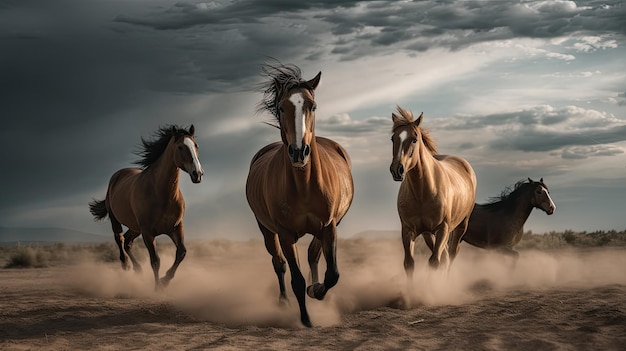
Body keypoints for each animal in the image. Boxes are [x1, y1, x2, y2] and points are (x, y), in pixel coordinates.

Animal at [88, 125, 202, 290]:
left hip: (135, 227)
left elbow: (181, 252)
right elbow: (155, 261)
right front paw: (158, 288)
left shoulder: (176, 227)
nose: (197, 174)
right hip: (117, 220)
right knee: (120, 238)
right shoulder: (148, 233)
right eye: (180, 147)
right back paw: (126, 265)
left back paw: (138, 270)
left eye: (196, 146)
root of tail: (117, 175)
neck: (162, 195)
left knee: (128, 242)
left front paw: (165, 280)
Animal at [244, 62, 352, 328]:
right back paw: (283, 301)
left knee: (313, 253)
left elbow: (332, 274)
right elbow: (296, 279)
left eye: (312, 106)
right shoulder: (284, 234)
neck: (304, 187)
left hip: (331, 224)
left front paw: (317, 290)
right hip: (266, 230)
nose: (299, 152)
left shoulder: (329, 225)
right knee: (279, 264)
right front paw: (306, 319)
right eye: (282, 107)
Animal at [388, 107, 476, 284]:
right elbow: (409, 263)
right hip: (429, 234)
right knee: (446, 257)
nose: (397, 170)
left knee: (451, 254)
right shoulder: (408, 230)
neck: (423, 192)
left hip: (460, 226)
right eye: (393, 138)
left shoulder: (442, 229)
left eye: (414, 139)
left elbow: (434, 262)